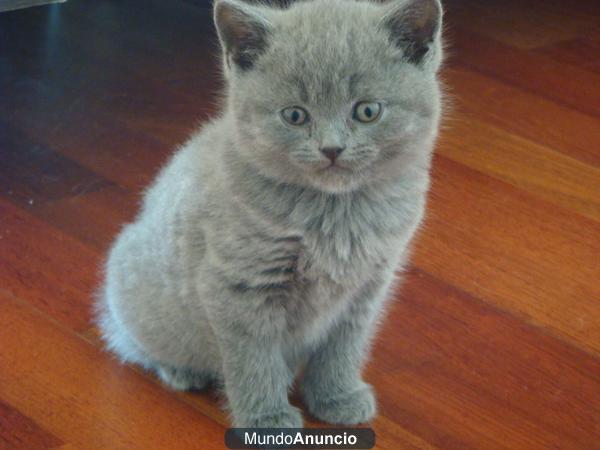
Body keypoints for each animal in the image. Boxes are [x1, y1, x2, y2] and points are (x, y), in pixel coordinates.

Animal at [96, 0, 442, 428]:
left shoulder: (368, 286)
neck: (336, 213)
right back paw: (181, 371)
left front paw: (337, 396)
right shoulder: (241, 285)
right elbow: (254, 358)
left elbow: (343, 347)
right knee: (134, 344)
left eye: (367, 111)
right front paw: (267, 419)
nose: (331, 149)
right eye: (294, 116)